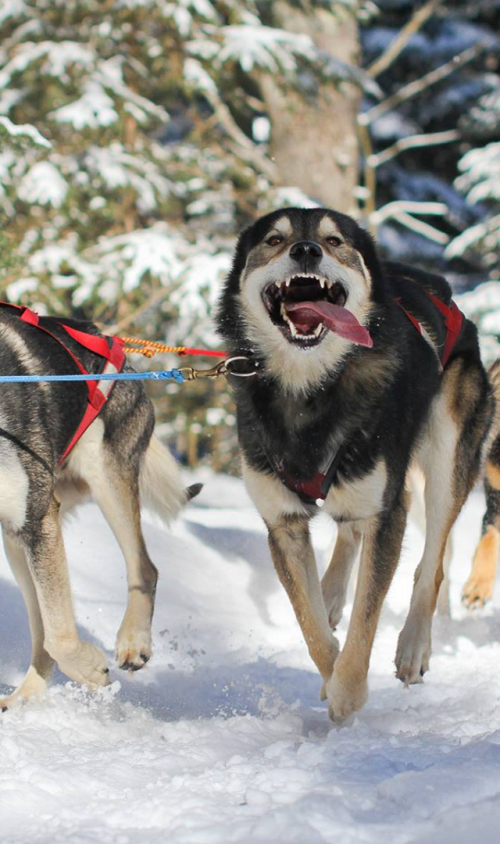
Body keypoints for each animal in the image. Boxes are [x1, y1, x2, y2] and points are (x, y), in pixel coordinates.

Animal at [0, 306, 195, 708]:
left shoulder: (39, 521)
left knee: (144, 568)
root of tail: (104, 337)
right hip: (19, 539)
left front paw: (90, 668)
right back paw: (25, 698)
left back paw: (133, 641)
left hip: (103, 475)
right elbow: (51, 631)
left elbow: (60, 635)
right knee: (41, 634)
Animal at [218, 208, 492, 724]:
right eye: (275, 239)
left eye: (334, 241)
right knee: (348, 537)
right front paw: (331, 670)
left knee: (433, 561)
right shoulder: (283, 522)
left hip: (444, 458)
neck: (310, 390)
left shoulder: (387, 515)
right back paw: (329, 592)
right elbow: (309, 625)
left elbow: (368, 615)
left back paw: (413, 646)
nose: (306, 250)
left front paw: (348, 693)